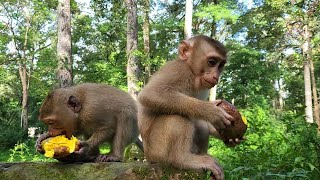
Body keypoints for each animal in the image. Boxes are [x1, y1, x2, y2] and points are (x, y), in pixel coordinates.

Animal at [137, 34, 242, 179]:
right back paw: (182, 159)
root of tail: (147, 157)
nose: (216, 76)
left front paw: (228, 137)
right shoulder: (178, 70)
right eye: (212, 62)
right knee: (177, 117)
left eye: (221, 65)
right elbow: (151, 93)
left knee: (199, 122)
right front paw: (212, 111)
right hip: (156, 152)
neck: (193, 74)